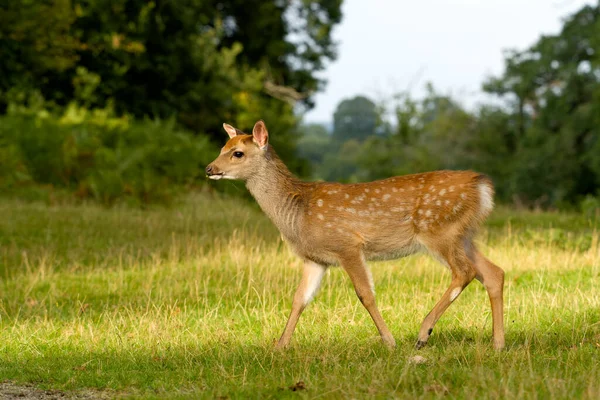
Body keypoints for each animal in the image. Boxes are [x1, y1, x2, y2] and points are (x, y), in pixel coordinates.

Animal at [206, 119, 506, 350]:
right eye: (222, 148)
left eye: (237, 153)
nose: (209, 169)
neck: (297, 212)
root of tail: (482, 186)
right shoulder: (315, 259)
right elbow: (299, 299)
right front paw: (280, 346)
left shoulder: (347, 245)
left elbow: (365, 294)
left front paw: (389, 341)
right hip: (462, 235)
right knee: (494, 273)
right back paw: (498, 344)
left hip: (439, 230)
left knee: (465, 272)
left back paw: (423, 333)